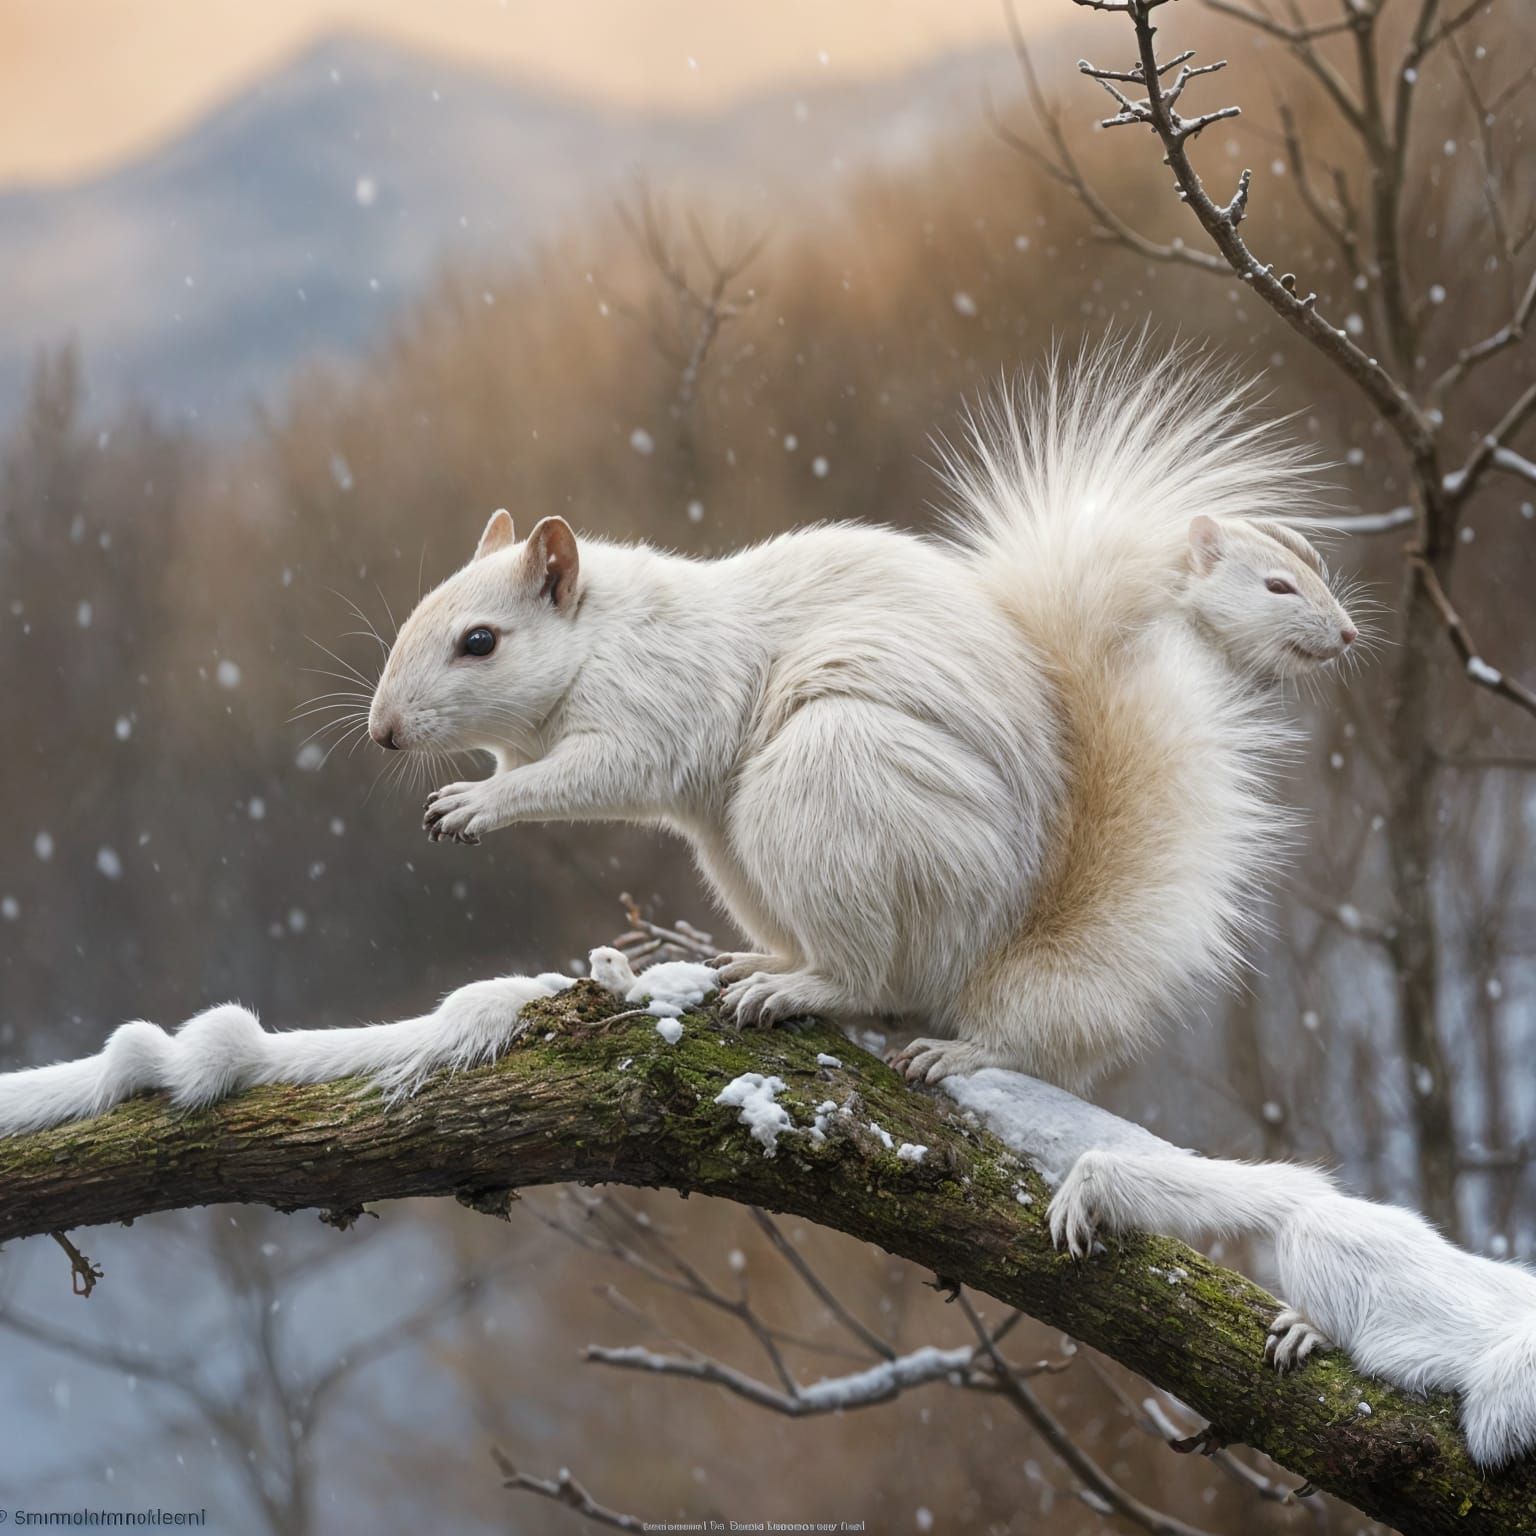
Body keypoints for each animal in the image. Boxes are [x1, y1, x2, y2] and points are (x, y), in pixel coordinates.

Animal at [371, 341, 1358, 1090]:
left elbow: (604, 771)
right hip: (740, 855)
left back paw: (815, 994)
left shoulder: (660, 696)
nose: (381, 731)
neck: (598, 637)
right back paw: (767, 964)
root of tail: (993, 945)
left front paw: (480, 804)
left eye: (479, 642)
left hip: (835, 781)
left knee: (874, 979)